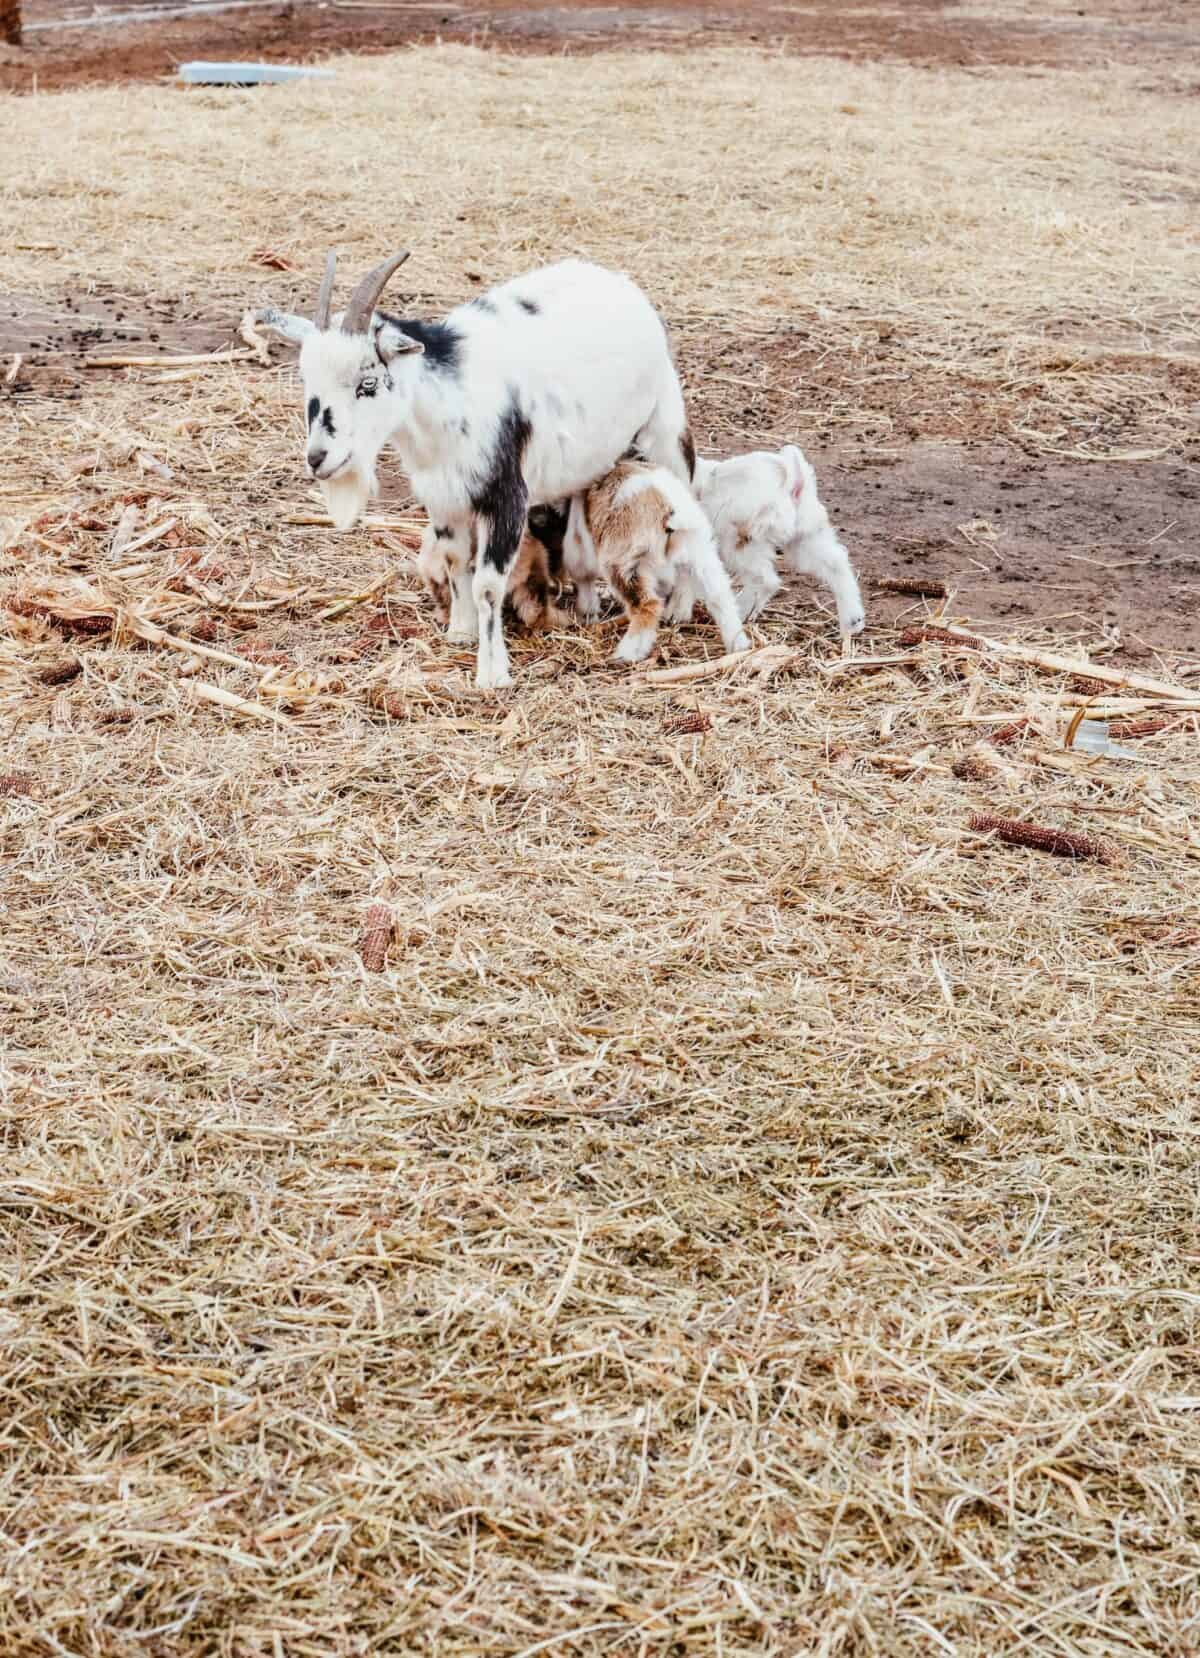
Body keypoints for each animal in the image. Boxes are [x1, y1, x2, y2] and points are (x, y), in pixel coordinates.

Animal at [255, 252, 696, 689]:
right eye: (306, 381)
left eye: (368, 383)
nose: (317, 457)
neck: (449, 400)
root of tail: (618, 282)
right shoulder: (443, 499)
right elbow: (454, 563)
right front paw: (461, 631)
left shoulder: (506, 496)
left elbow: (487, 583)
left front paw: (492, 672)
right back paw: (587, 606)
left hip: (665, 427)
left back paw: (679, 608)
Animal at [670, 444, 865, 638]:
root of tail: (791, 480)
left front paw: (676, 614)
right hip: (806, 535)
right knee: (836, 564)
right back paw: (852, 620)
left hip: (741, 541)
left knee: (765, 580)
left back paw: (740, 614)